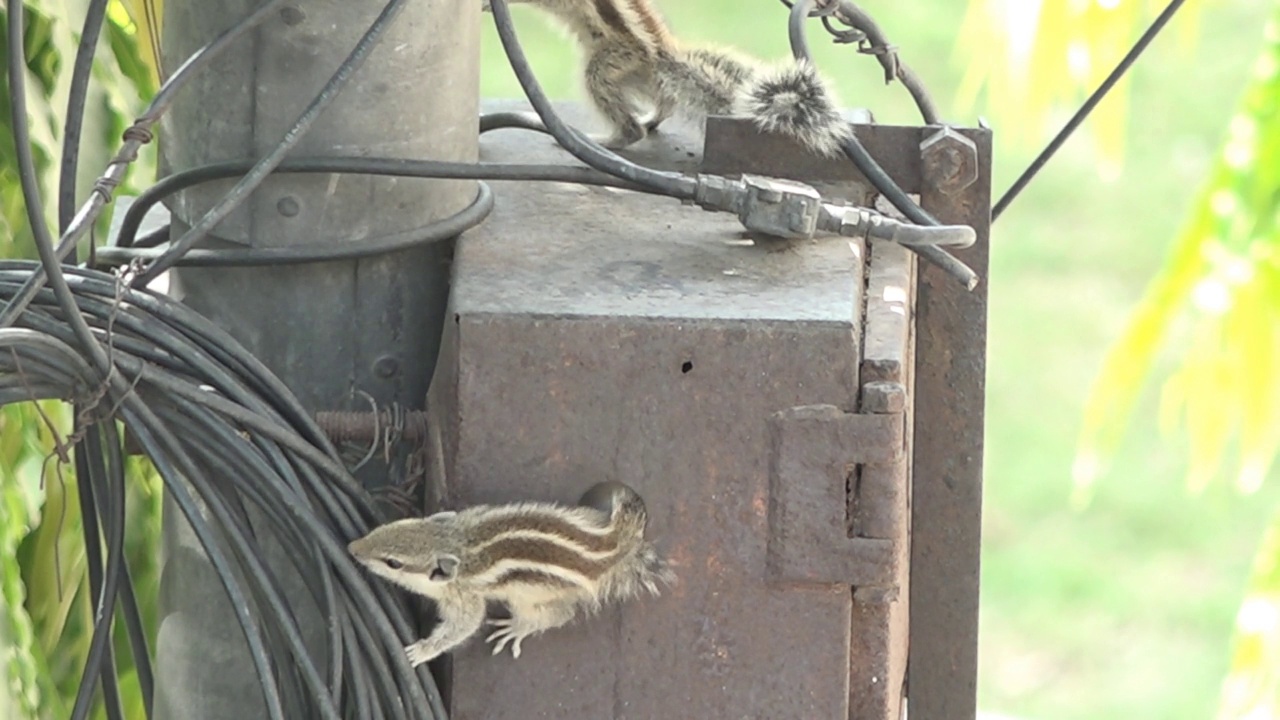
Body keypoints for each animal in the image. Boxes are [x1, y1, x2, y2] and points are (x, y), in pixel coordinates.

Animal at [345, 479, 675, 666]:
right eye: (391, 527)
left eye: (393, 563)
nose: (352, 548)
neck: (457, 542)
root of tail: (612, 547)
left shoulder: (465, 598)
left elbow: (463, 626)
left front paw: (422, 651)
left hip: (529, 596)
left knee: (559, 615)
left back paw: (518, 627)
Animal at [483, 0, 855, 155]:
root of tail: (660, 56)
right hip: (640, 78)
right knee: (667, 102)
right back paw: (649, 120)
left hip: (609, 64)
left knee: (627, 124)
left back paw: (608, 139)